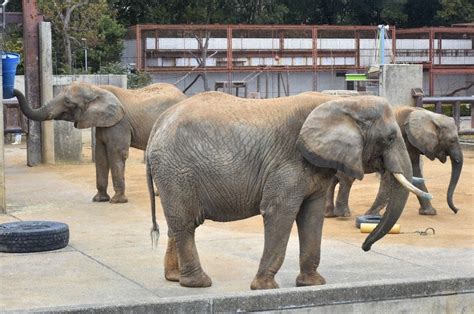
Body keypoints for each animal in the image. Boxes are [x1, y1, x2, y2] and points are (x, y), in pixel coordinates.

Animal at [14, 82, 185, 202]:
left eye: (68, 102)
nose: (12, 90)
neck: (97, 89)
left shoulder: (120, 123)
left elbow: (117, 153)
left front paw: (117, 201)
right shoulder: (103, 122)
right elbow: (101, 155)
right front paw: (99, 199)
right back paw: (158, 194)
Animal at [146, 92, 428, 290]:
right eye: (390, 138)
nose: (365, 247)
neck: (341, 102)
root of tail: (156, 127)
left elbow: (311, 215)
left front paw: (313, 283)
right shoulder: (288, 162)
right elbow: (278, 211)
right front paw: (265, 287)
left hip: (174, 174)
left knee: (179, 223)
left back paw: (174, 278)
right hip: (177, 170)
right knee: (186, 223)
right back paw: (199, 283)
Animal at [326, 105, 462, 218]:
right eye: (452, 140)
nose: (456, 210)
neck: (425, 113)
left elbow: (415, 172)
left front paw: (429, 213)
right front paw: (371, 215)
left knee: (333, 179)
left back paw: (329, 214)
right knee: (346, 178)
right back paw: (343, 215)